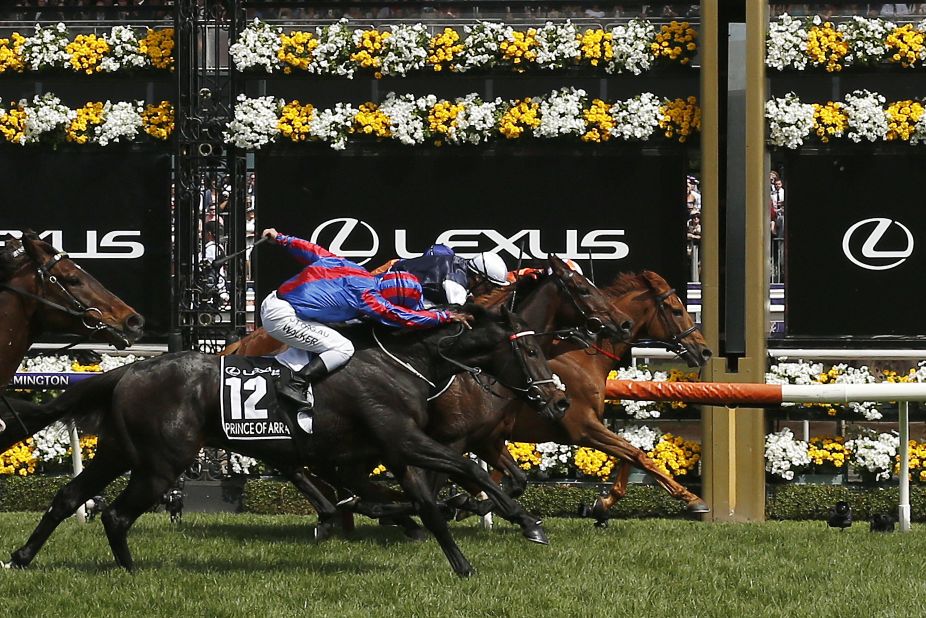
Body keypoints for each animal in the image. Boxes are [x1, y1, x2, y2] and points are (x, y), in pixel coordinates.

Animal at [9, 306, 572, 576]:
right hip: (161, 463)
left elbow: (428, 506)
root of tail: (128, 371)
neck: (402, 362)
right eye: (529, 353)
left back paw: (22, 556)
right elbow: (468, 471)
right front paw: (527, 522)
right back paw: (130, 571)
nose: (557, 401)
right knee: (114, 514)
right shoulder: (404, 441)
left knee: (69, 498)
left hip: (119, 452)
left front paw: (462, 564)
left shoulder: (390, 452)